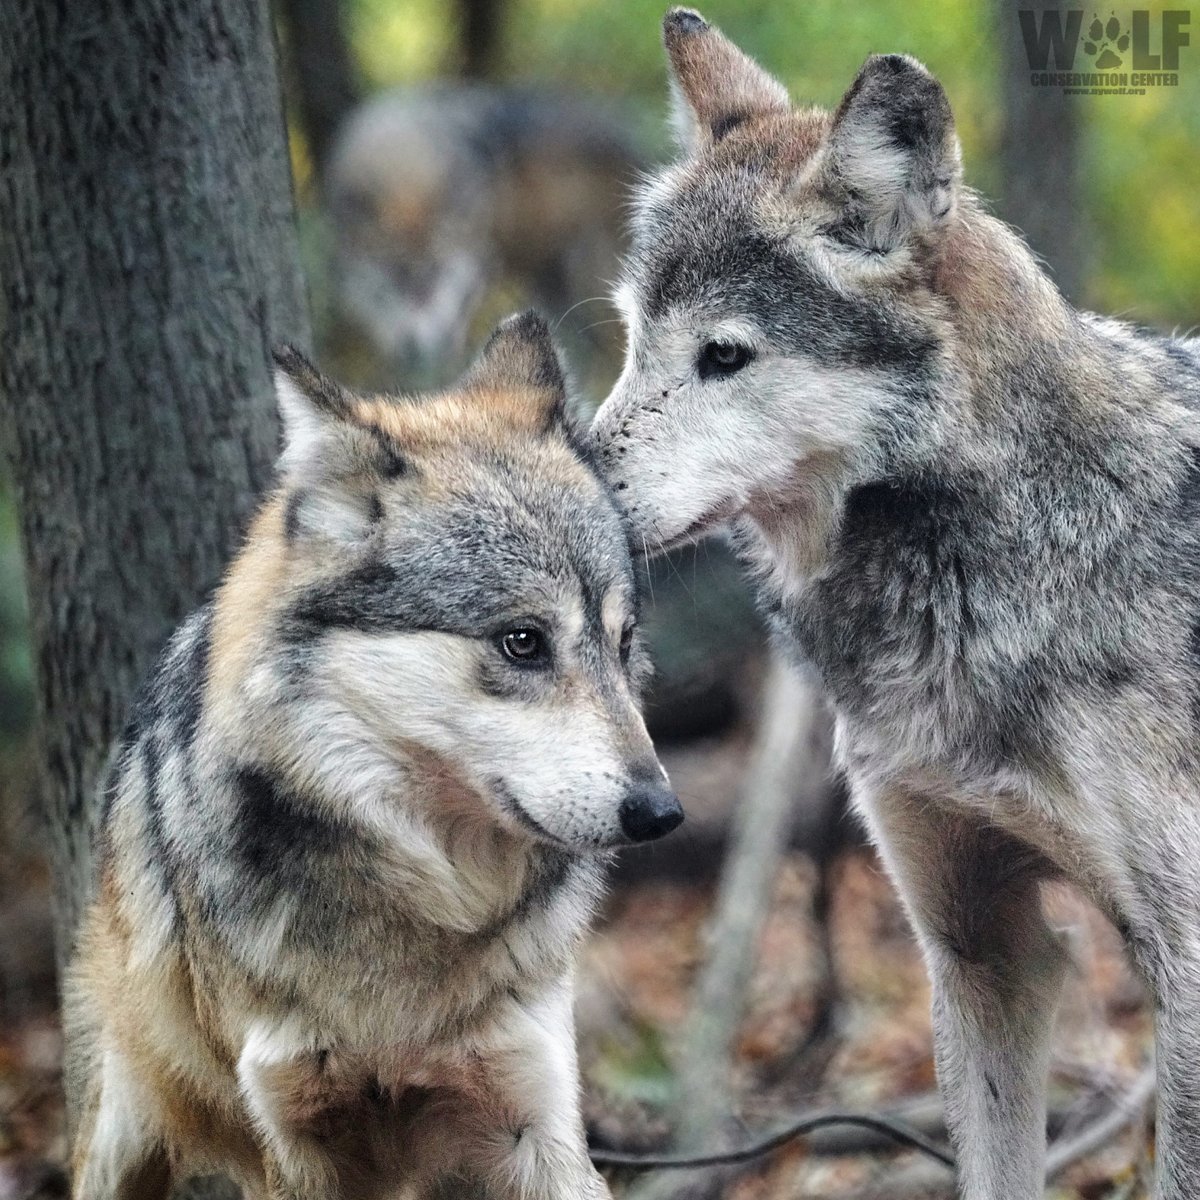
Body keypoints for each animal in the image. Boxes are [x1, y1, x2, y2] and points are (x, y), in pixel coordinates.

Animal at [67, 312, 681, 1200]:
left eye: (622, 640)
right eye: (522, 641)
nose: (661, 811)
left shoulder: (539, 1125)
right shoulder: (295, 1150)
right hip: (122, 1136)